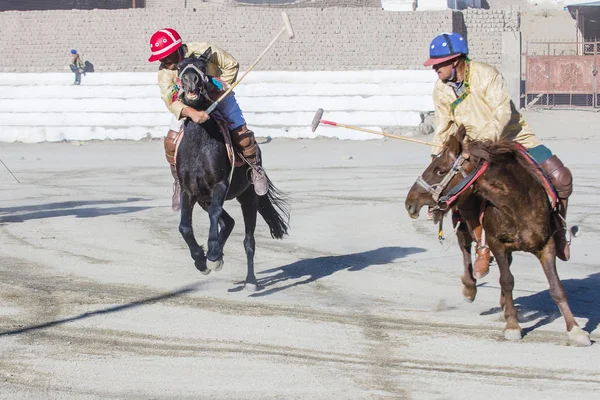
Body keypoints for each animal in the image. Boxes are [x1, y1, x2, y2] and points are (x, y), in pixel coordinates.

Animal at [173, 48, 290, 290]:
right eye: (179, 68)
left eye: (202, 65)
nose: (191, 81)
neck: (199, 144)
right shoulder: (189, 191)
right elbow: (184, 227)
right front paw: (202, 260)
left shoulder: (219, 185)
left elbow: (215, 215)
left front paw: (212, 253)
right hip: (204, 199)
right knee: (228, 222)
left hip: (249, 198)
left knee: (248, 240)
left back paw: (250, 280)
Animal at [404, 126, 592, 346]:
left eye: (439, 170)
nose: (410, 202)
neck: (519, 203)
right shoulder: (497, 243)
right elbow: (507, 280)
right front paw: (512, 325)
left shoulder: (546, 245)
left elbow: (556, 287)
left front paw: (575, 329)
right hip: (463, 222)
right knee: (466, 250)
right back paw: (471, 287)